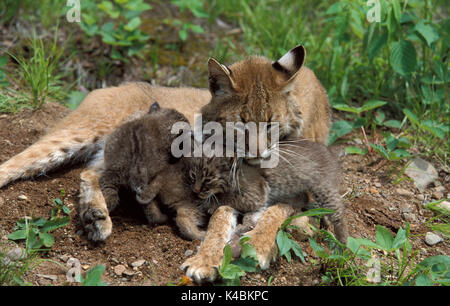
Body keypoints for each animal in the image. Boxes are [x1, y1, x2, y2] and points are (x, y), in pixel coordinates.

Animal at [188, 140, 350, 244]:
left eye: (208, 180)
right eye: (193, 175)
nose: (195, 190)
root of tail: (328, 149)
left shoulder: (256, 195)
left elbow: (229, 199)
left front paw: (210, 203)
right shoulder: (259, 199)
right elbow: (249, 214)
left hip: (323, 187)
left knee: (339, 212)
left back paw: (342, 246)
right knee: (305, 199)